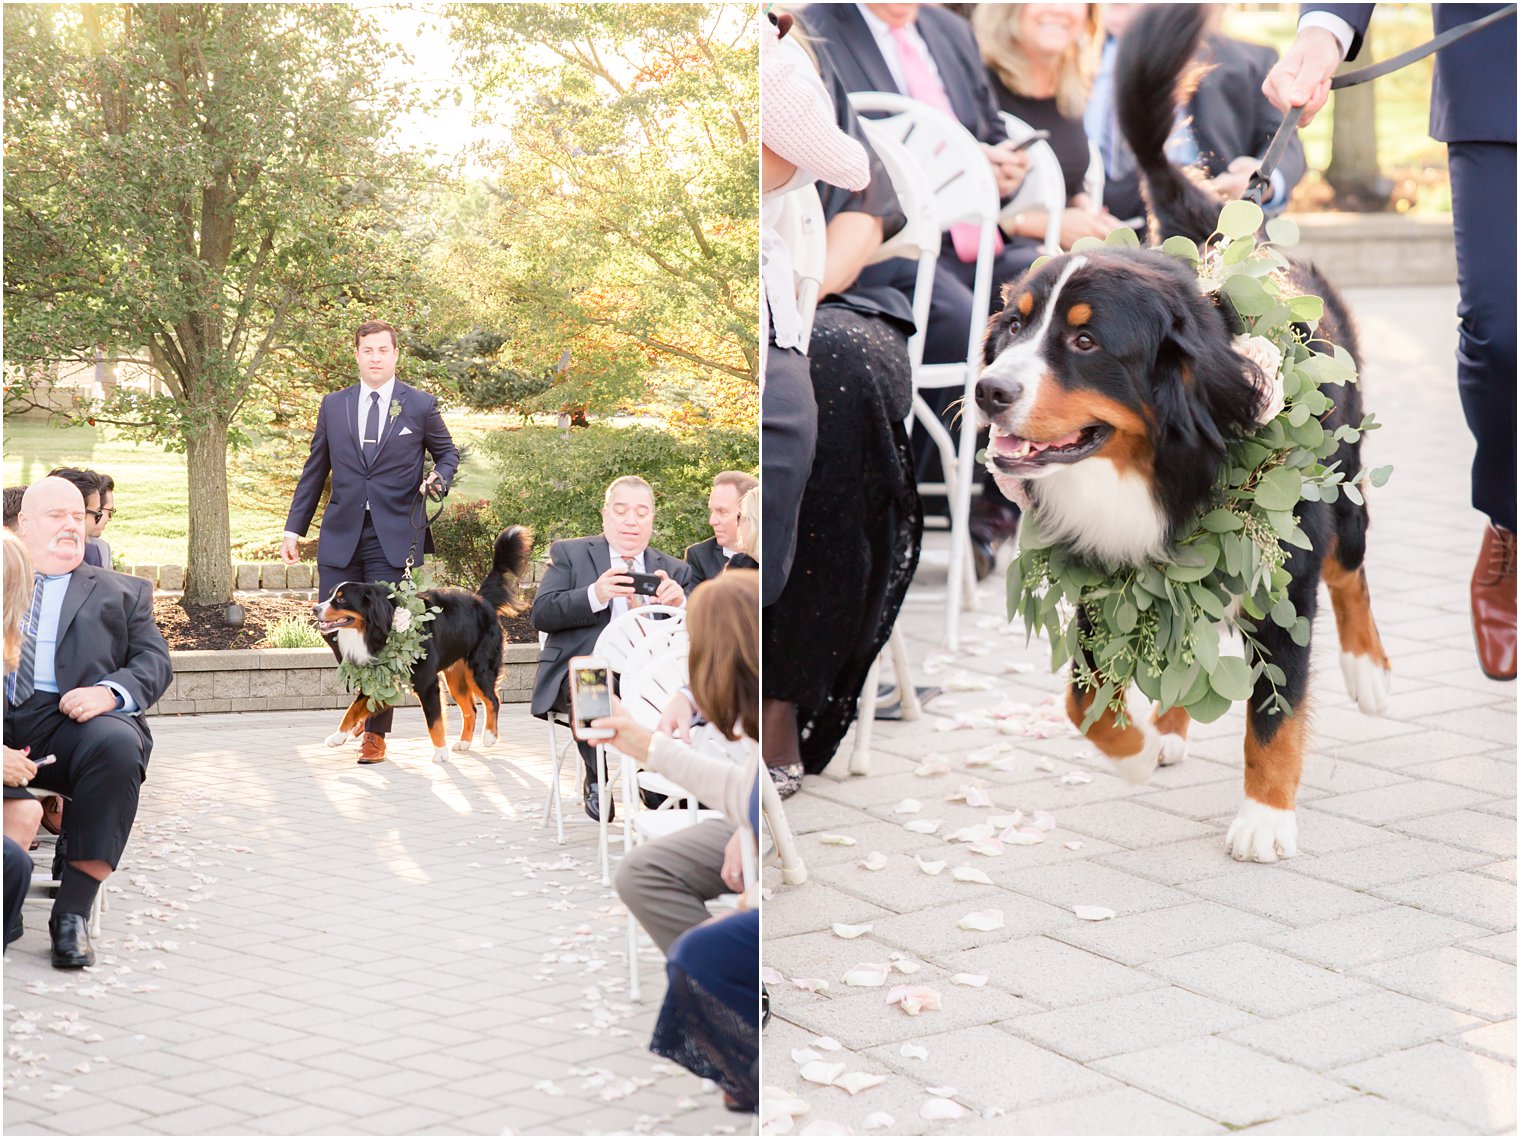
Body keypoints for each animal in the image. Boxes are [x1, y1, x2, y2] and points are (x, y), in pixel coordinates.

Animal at [311, 526, 532, 760]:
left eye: (341, 599)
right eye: (331, 595)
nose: (315, 609)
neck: (383, 626)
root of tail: (481, 600)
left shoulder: (427, 683)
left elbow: (434, 722)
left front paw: (441, 752)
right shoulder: (380, 676)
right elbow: (352, 709)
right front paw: (338, 737)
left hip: (479, 669)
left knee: (492, 700)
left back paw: (489, 736)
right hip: (456, 676)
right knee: (470, 708)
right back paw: (464, 742)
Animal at [984, 6, 1392, 863]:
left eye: (1084, 341)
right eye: (1014, 324)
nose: (987, 390)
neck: (1146, 469)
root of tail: (1240, 233)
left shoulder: (1281, 578)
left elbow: (1273, 714)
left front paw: (1265, 816)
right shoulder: (1105, 570)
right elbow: (1083, 701)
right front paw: (1133, 749)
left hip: (1341, 488)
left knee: (1350, 571)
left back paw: (1368, 670)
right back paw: (1169, 724)